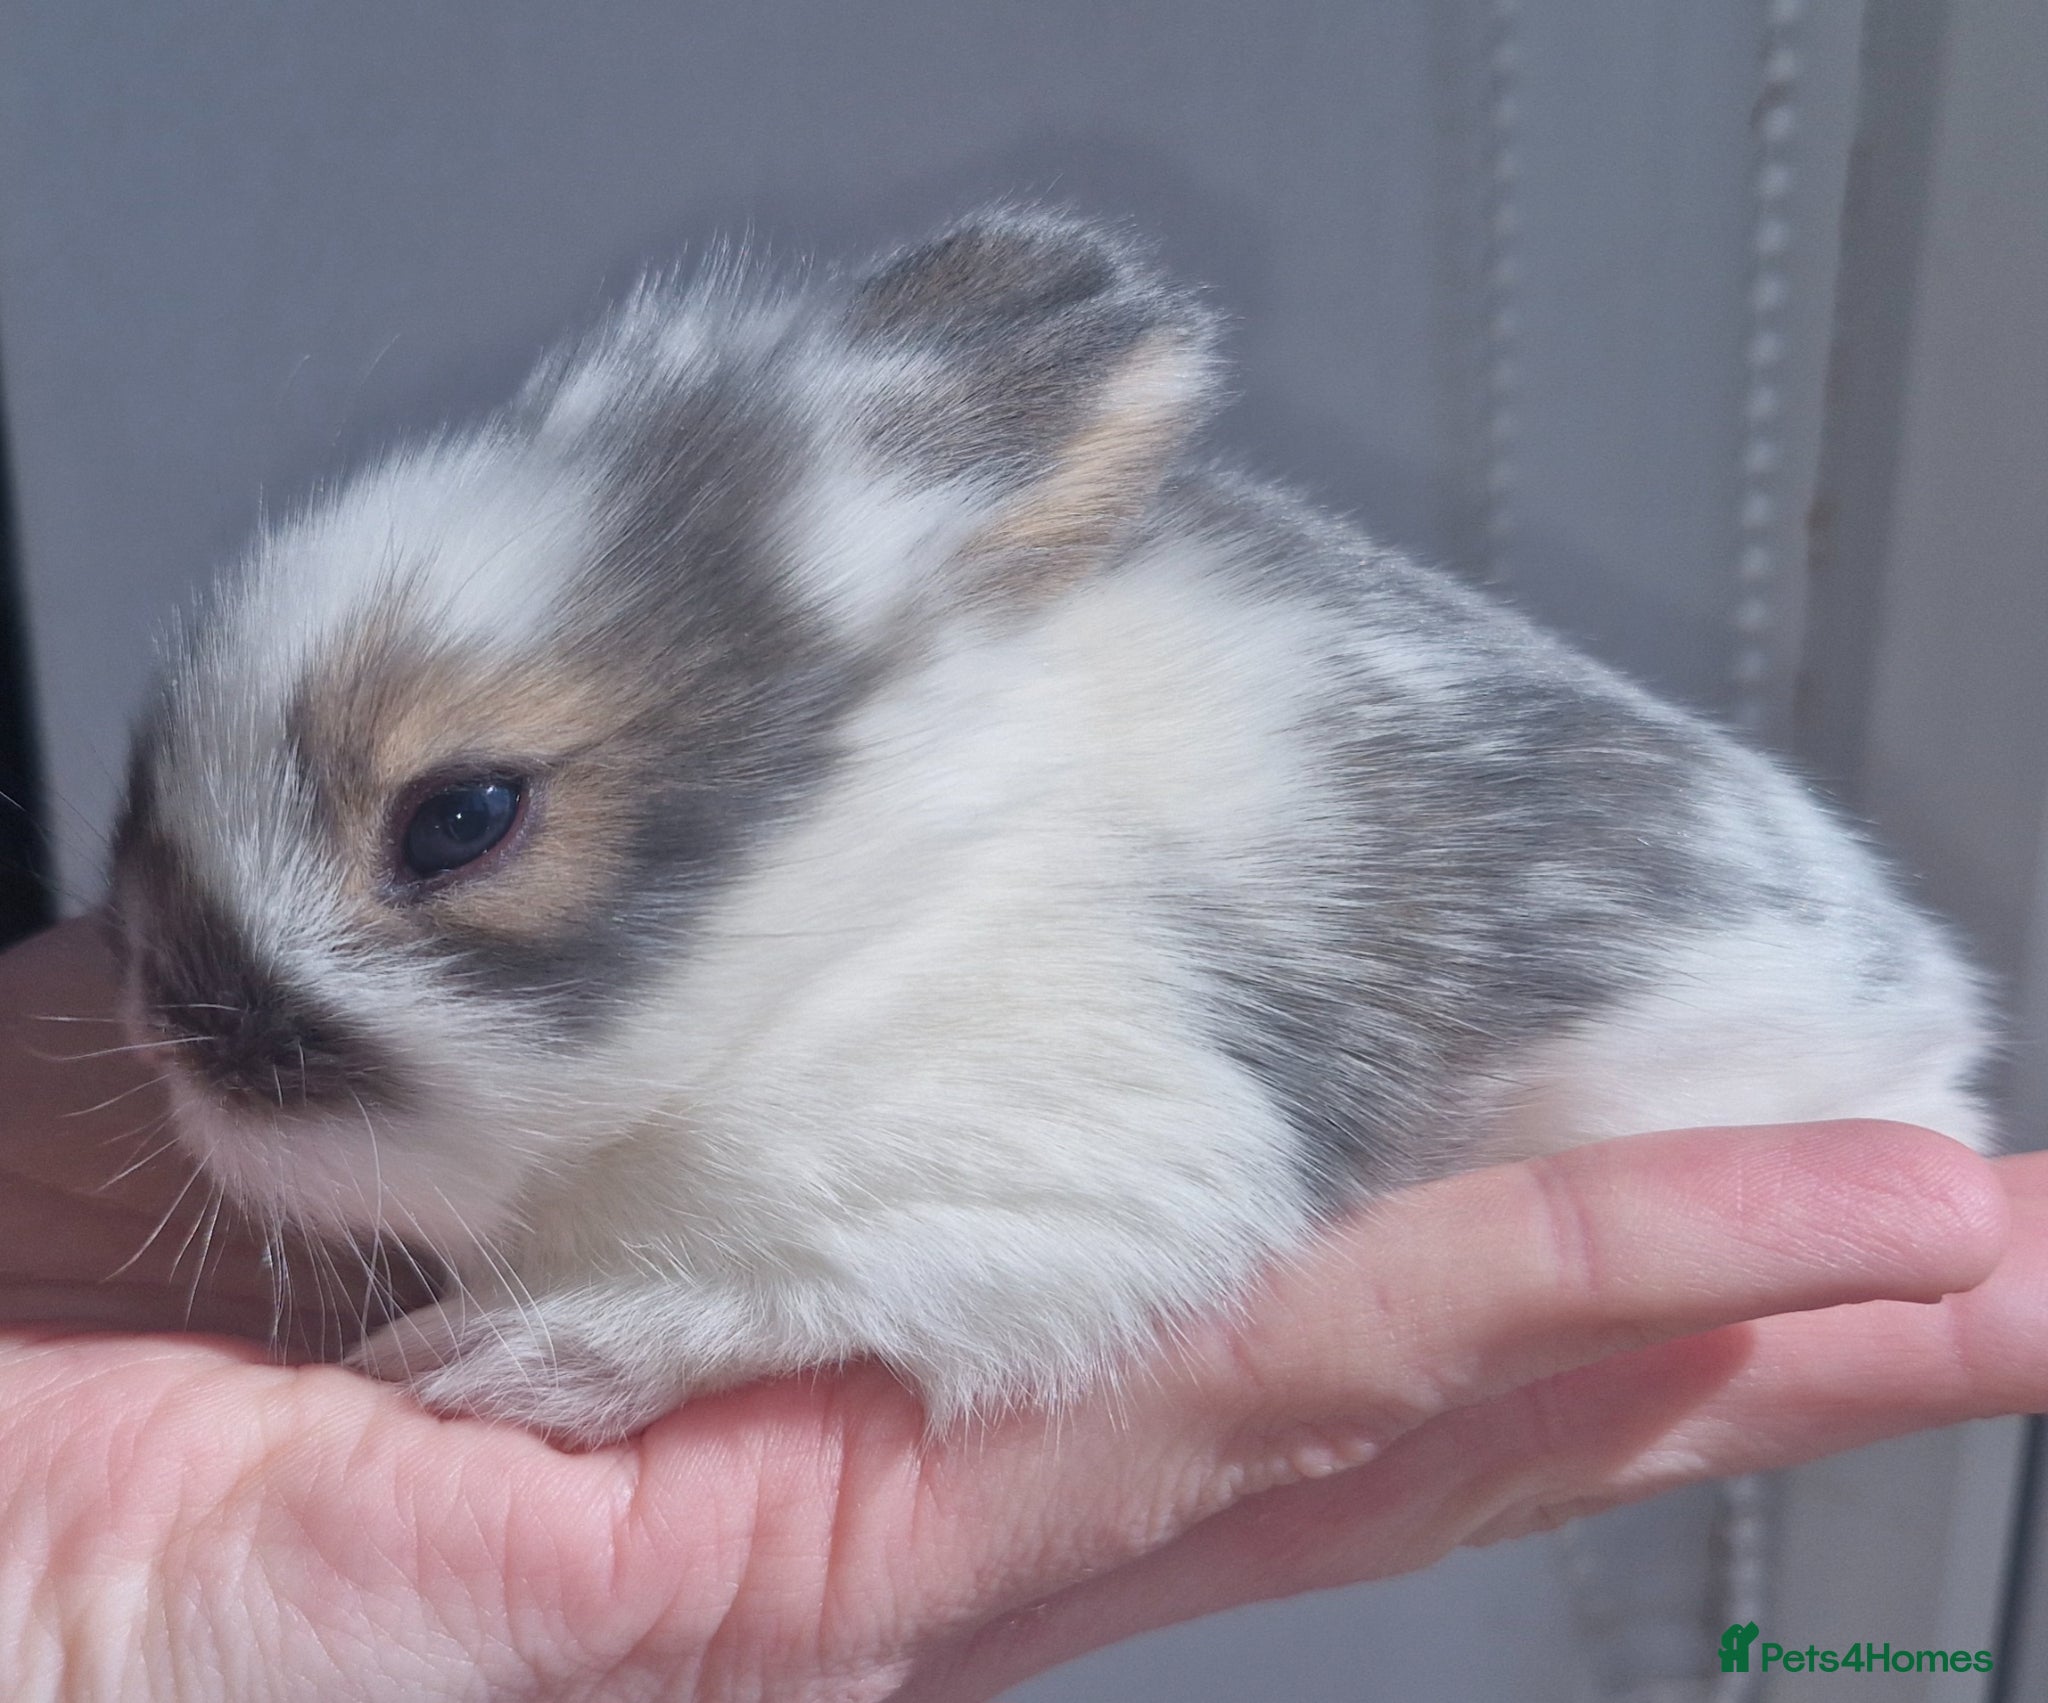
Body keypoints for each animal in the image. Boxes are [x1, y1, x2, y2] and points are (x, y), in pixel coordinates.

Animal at [107, 208, 1993, 1447]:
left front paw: (514, 1362)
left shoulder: (1068, 1180)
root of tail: (1931, 998)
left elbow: (794, 1289)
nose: (173, 1021)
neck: (827, 916)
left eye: (463, 816)